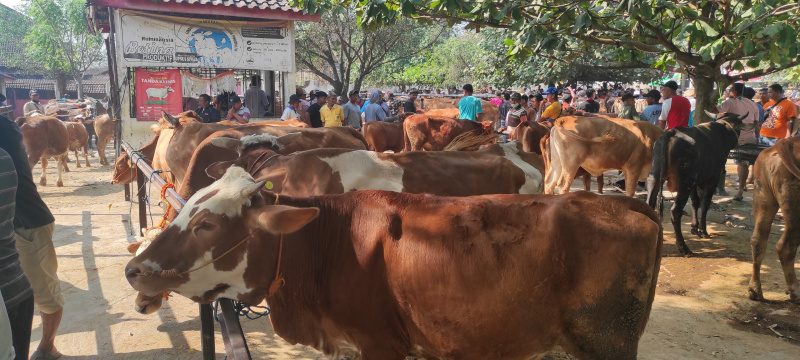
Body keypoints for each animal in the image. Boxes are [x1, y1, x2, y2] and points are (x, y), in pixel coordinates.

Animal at [644, 111, 752, 255]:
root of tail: (670, 133)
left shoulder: (695, 183)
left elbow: (695, 203)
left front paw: (694, 228)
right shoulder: (712, 179)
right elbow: (705, 204)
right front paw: (702, 230)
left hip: (655, 176)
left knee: (649, 203)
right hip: (685, 183)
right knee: (675, 211)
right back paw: (683, 247)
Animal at [752, 136, 800, 302]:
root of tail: (787, 142)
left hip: (763, 196)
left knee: (758, 240)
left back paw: (755, 290)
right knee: (786, 247)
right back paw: (795, 291)